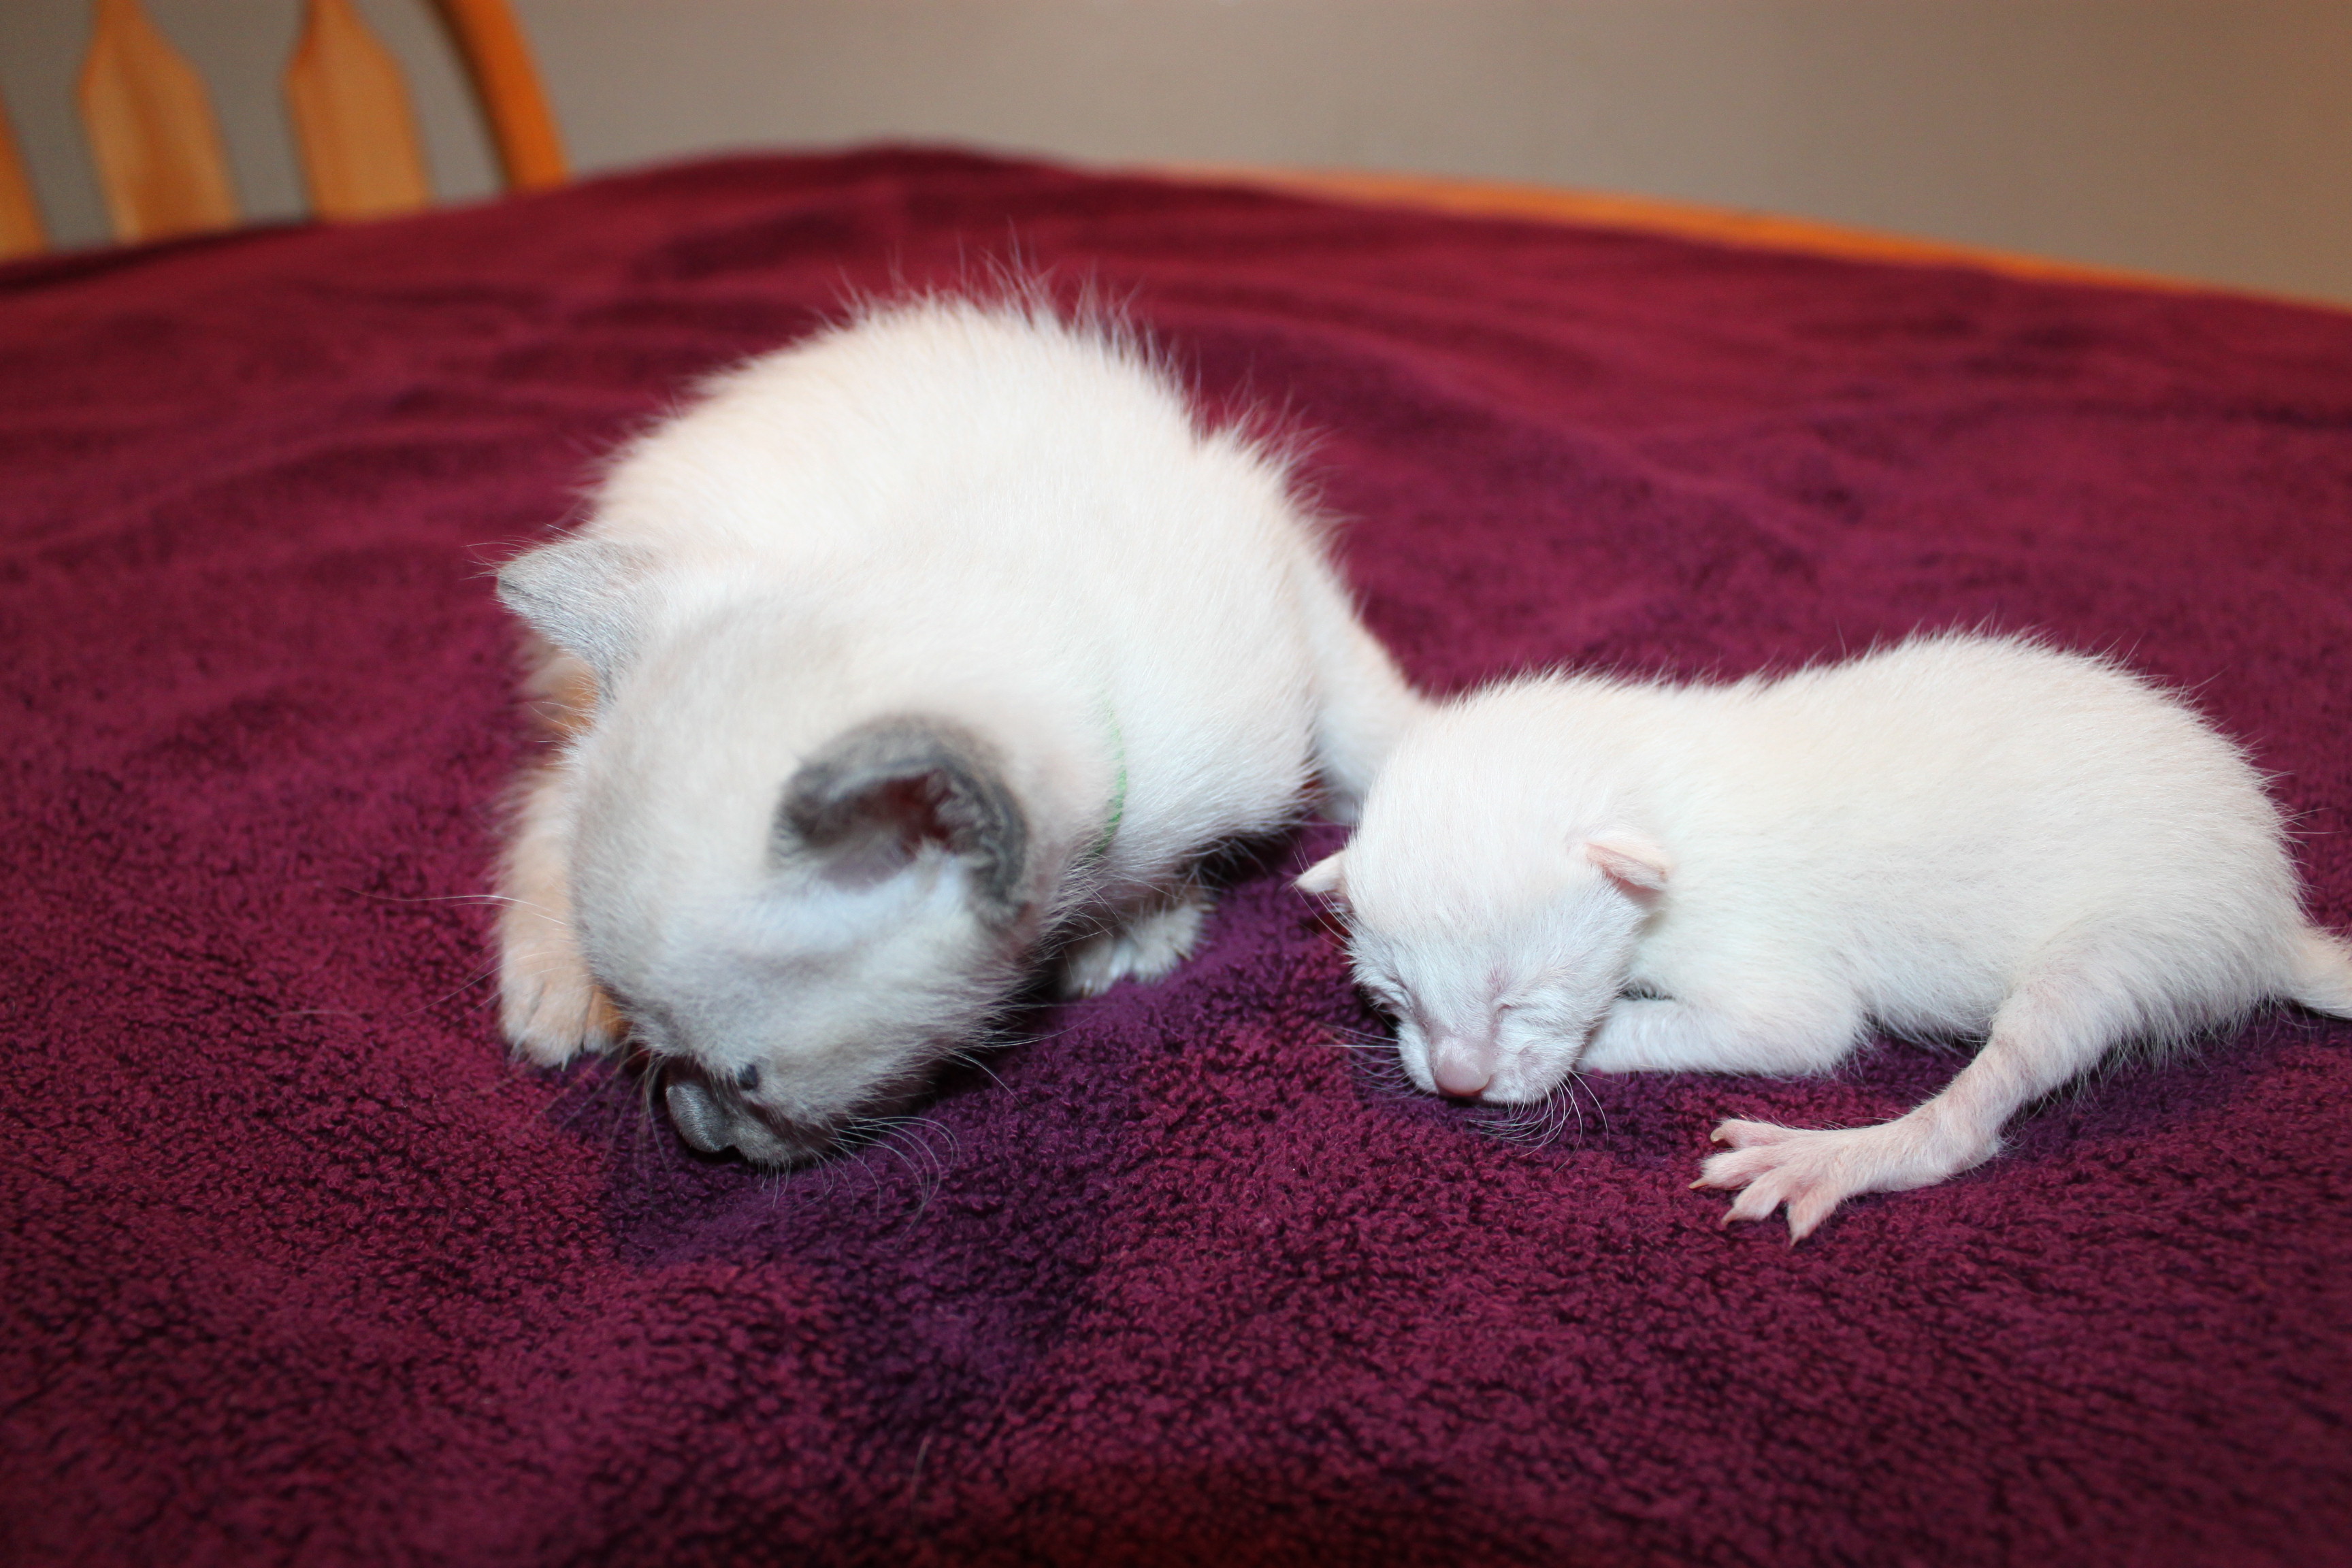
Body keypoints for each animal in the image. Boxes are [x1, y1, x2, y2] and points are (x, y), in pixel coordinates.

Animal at [495, 295, 1423, 1167]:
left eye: (748, 1078)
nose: (694, 1131)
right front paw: (1140, 921)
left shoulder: (1274, 564)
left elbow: (1363, 721)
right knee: (545, 794)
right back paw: (549, 987)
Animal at [1298, 632, 2352, 1239]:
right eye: (1393, 999)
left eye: (1525, 998)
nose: (1458, 1083)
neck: (1651, 787)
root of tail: (2272, 918)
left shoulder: (1755, 951)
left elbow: (1796, 1029)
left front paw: (1585, 1056)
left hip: (2129, 944)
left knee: (1979, 1112)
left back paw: (1829, 1156)